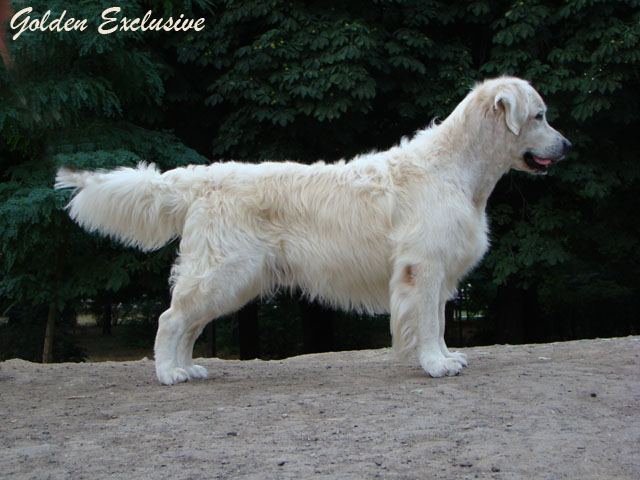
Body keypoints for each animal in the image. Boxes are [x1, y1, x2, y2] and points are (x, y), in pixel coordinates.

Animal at [55, 76, 571, 385]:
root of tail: (201, 178)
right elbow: (426, 323)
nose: (567, 145)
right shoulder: (422, 268)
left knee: (187, 323)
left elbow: (441, 323)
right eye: (540, 115)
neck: (456, 169)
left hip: (232, 279)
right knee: (170, 319)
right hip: (225, 273)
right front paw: (433, 363)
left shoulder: (440, 272)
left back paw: (188, 368)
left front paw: (446, 357)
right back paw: (168, 373)